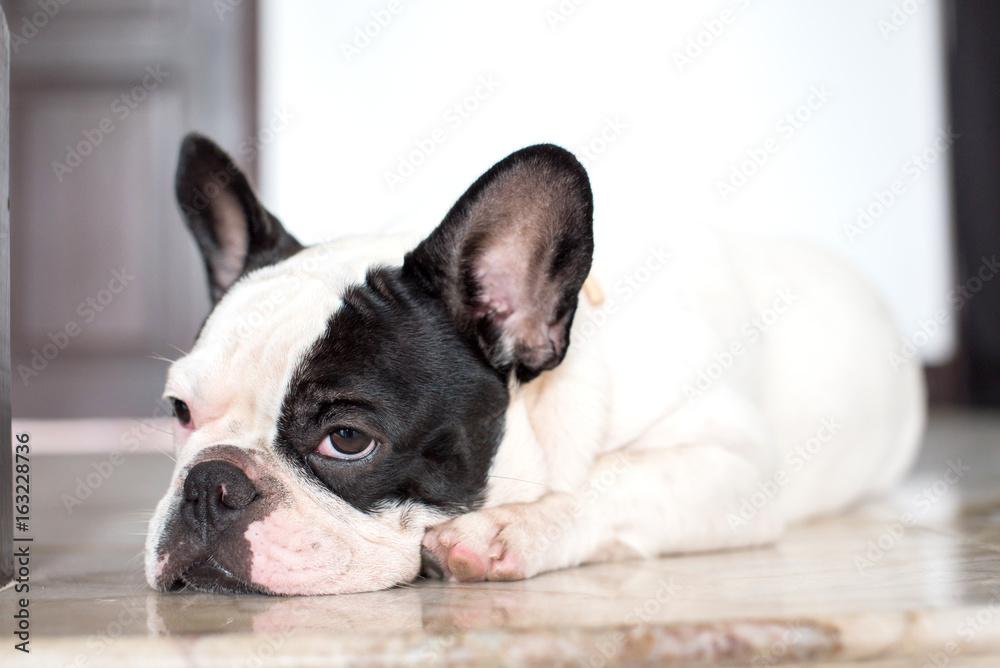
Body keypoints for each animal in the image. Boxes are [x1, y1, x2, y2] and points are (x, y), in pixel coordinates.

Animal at [145, 134, 924, 596]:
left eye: (347, 439)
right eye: (179, 412)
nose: (211, 483)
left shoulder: (736, 466)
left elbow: (620, 477)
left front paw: (510, 529)